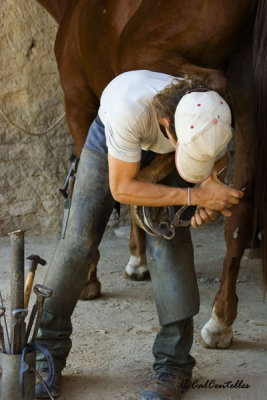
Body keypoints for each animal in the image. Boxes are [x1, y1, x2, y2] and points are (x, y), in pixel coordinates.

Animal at [35, 0, 266, 346]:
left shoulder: (78, 103)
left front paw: (91, 278)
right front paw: (139, 259)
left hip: (141, 54)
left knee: (205, 87)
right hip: (250, 94)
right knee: (242, 209)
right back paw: (220, 320)